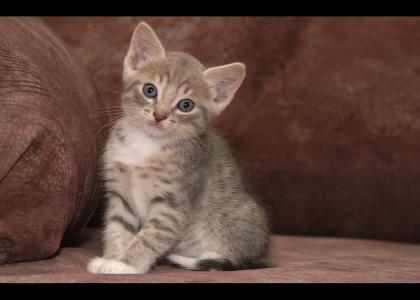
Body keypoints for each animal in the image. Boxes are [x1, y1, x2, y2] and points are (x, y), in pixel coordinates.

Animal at [87, 21, 270, 274]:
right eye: (150, 90)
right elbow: (117, 228)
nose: (159, 115)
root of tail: (265, 254)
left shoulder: (173, 204)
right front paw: (112, 258)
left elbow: (150, 236)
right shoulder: (121, 194)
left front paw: (125, 265)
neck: (146, 144)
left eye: (186, 105)